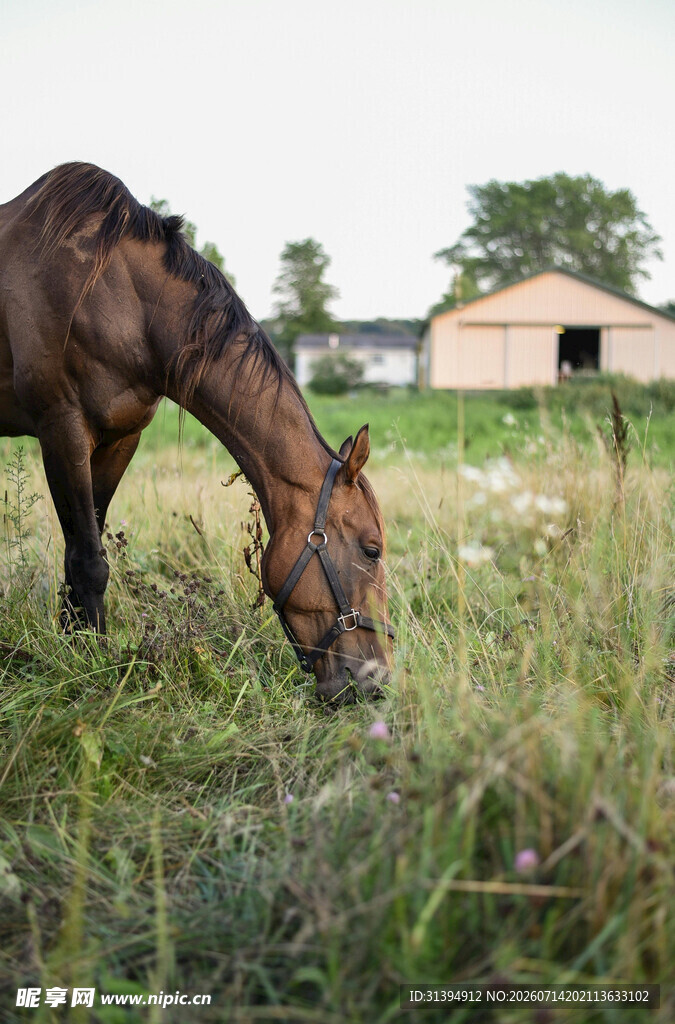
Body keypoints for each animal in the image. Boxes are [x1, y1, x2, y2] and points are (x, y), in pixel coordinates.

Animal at [0, 163, 393, 701]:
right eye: (371, 550)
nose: (379, 680)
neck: (115, 298)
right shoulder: (62, 429)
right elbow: (88, 561)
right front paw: (90, 662)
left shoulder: (120, 438)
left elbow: (78, 553)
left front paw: (75, 641)